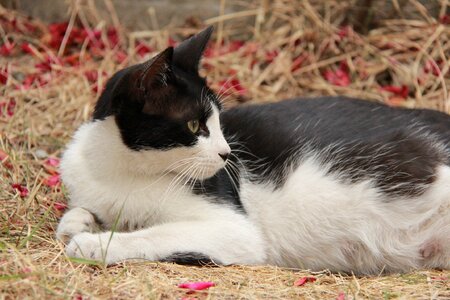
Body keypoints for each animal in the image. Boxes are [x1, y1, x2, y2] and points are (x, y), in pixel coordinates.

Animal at [56, 27, 450, 276]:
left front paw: (91, 244)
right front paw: (79, 222)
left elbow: (154, 234)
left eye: (218, 120)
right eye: (194, 126)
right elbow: (79, 212)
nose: (227, 154)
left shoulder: (233, 228)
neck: (123, 174)